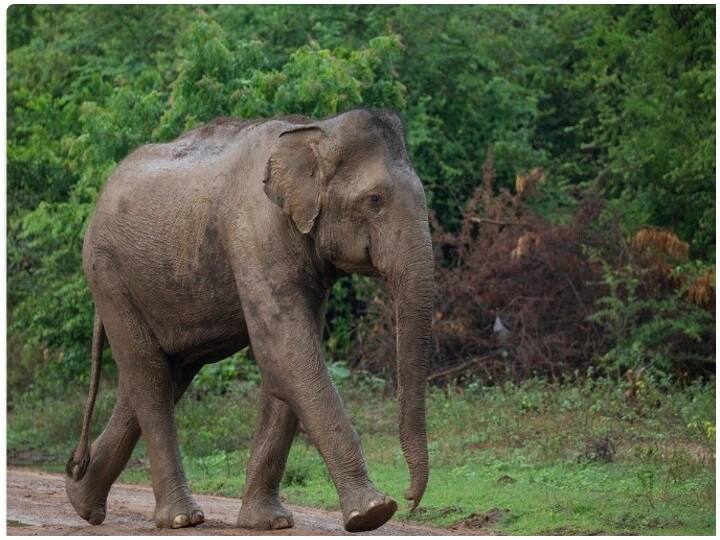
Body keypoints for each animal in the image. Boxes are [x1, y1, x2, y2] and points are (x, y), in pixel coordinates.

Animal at [65, 108, 434, 533]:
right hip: (108, 275)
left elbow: (287, 359)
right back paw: (180, 518)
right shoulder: (255, 232)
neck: (317, 131)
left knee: (160, 376)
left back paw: (81, 499)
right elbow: (285, 349)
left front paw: (269, 522)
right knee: (149, 376)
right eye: (374, 201)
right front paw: (372, 513)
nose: (410, 498)